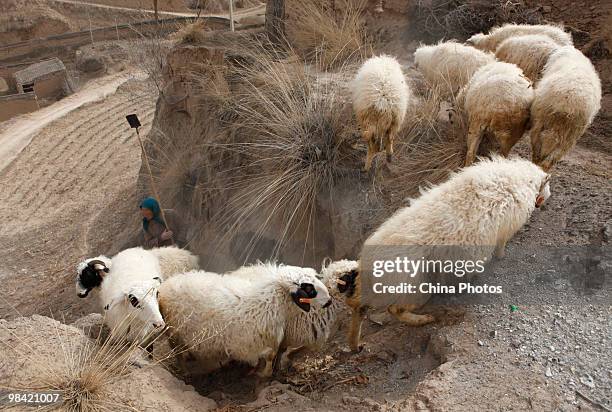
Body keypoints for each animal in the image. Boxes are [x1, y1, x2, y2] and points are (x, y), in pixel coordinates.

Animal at [157, 262, 330, 378]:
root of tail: (167, 284)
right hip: (174, 333)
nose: (329, 301)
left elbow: (273, 354)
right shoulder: (247, 343)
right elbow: (269, 355)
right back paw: (185, 371)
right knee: (178, 353)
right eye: (309, 288)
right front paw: (263, 374)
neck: (268, 301)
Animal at [342, 156, 552, 350]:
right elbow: (501, 246)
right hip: (415, 288)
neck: (521, 178)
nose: (544, 202)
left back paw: (354, 343)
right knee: (394, 309)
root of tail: (367, 264)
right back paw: (423, 319)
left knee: (358, 305)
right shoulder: (506, 228)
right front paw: (501, 257)